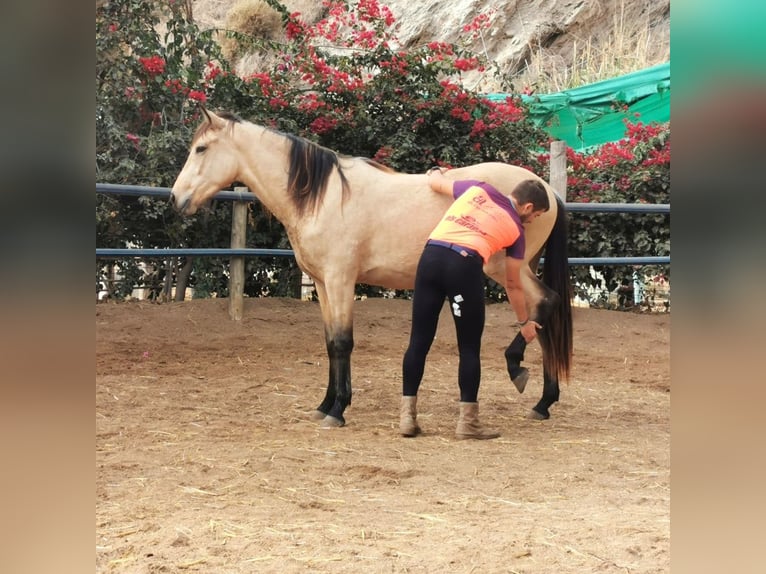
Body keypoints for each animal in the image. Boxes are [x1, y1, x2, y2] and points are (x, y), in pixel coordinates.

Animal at [171, 110, 572, 430]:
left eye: (201, 149)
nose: (176, 199)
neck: (323, 197)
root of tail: (549, 191)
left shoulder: (341, 280)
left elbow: (343, 342)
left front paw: (338, 410)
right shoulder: (321, 283)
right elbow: (330, 343)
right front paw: (325, 405)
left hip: (507, 269)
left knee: (546, 303)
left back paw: (519, 370)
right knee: (542, 318)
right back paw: (543, 402)